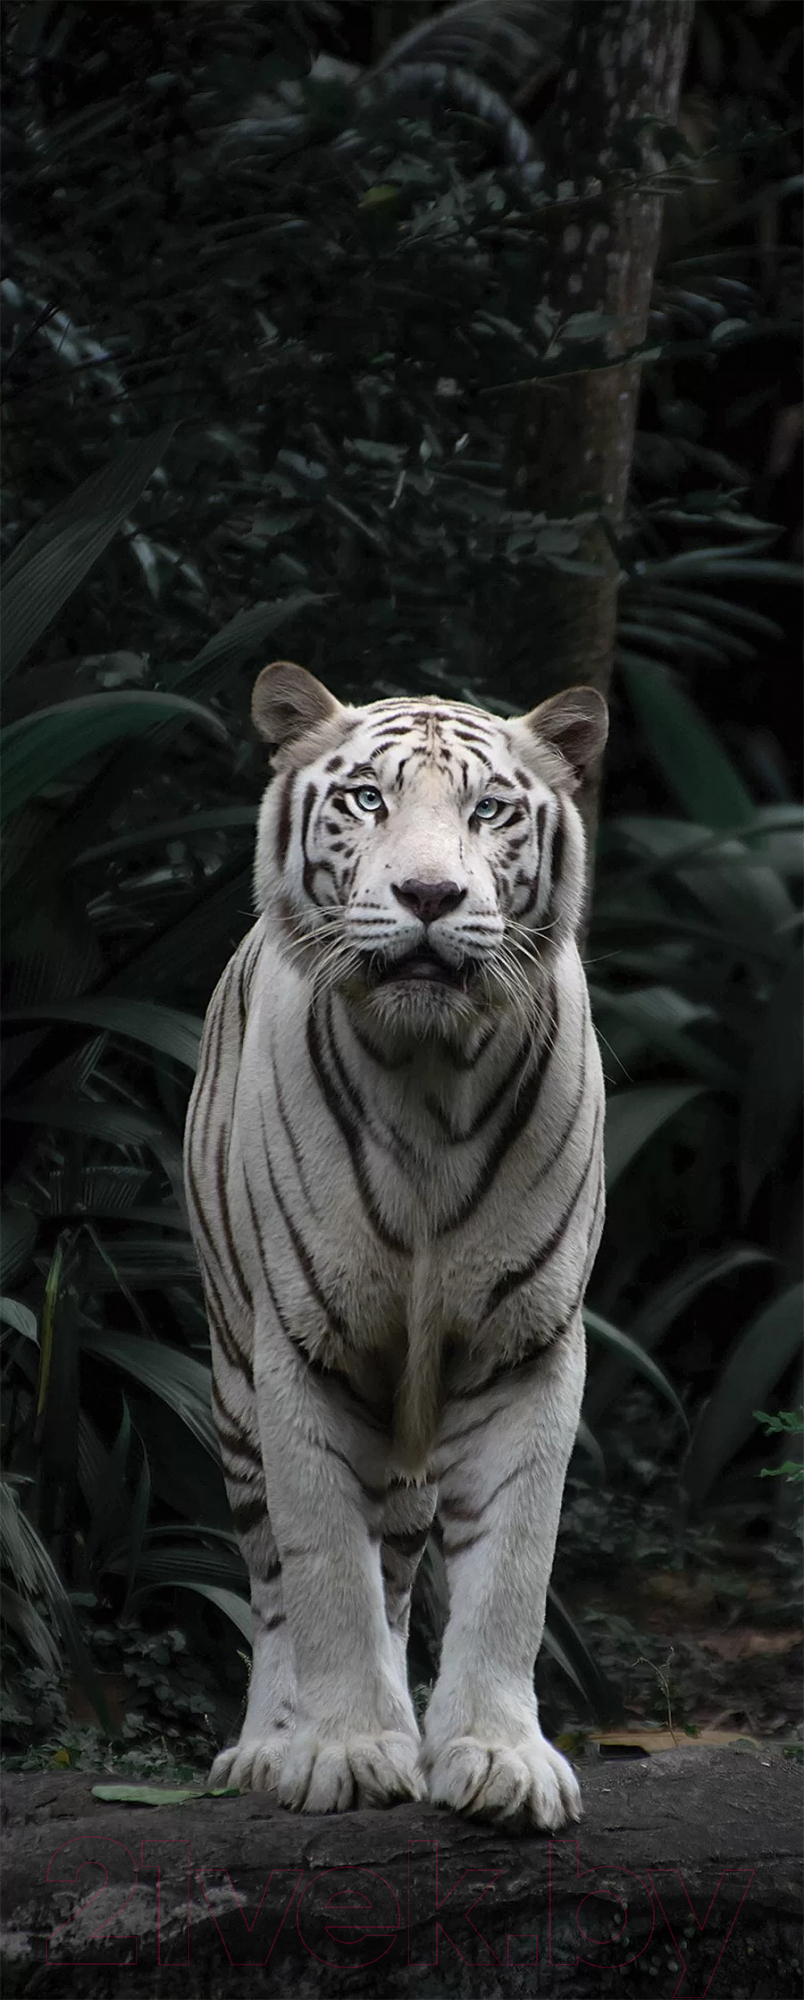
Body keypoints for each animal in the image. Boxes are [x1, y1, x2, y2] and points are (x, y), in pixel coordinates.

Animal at [183, 659, 608, 1828]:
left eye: (490, 810)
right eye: (368, 799)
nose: (428, 897)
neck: (429, 1076)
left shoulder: (526, 1346)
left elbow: (512, 1568)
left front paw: (497, 1756)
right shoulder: (301, 1347)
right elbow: (325, 1566)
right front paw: (346, 1749)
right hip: (232, 1383)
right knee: (274, 1579)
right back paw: (268, 1746)